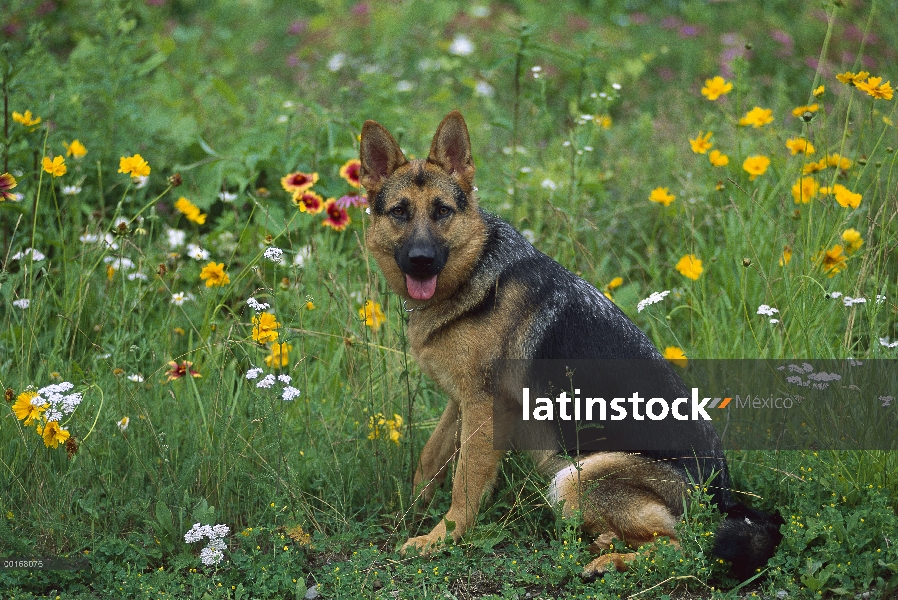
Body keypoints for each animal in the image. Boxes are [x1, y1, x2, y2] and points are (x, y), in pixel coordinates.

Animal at [360, 110, 780, 580]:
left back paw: (607, 561)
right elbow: (429, 463)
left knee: (678, 547)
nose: (421, 260)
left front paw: (440, 539)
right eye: (399, 212)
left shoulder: (484, 409)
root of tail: (722, 497)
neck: (474, 276)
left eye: (442, 212)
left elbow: (464, 485)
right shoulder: (461, 401)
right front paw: (411, 514)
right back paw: (604, 543)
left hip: (575, 478)